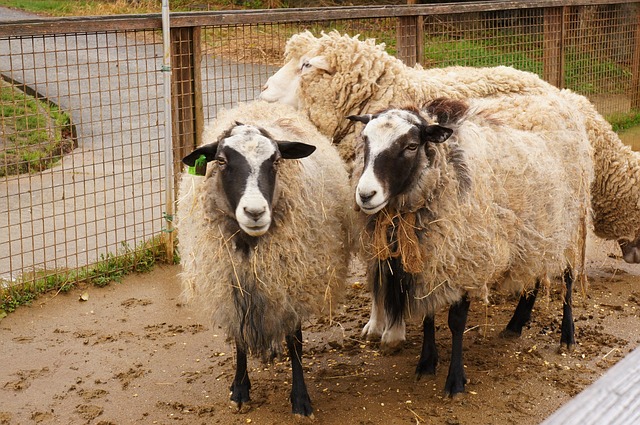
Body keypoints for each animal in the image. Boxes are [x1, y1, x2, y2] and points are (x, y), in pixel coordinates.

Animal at [175, 100, 351, 417]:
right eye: (221, 161)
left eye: (276, 160)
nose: (255, 212)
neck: (250, 246)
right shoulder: (233, 285)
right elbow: (239, 339)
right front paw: (240, 389)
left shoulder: (290, 280)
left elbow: (295, 341)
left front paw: (300, 399)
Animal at [347, 97, 593, 395]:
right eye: (365, 140)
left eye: (411, 146)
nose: (365, 195)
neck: (446, 171)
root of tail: (561, 99)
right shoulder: (433, 260)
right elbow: (429, 316)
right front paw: (426, 363)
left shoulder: (465, 258)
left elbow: (456, 323)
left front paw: (455, 382)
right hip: (536, 230)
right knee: (531, 275)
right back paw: (516, 323)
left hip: (570, 223)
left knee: (568, 278)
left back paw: (567, 336)